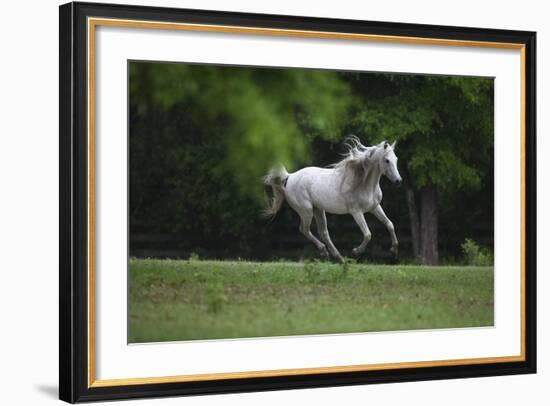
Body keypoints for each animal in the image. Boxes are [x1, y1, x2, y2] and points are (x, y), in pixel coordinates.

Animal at [266, 137, 404, 264]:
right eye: (387, 160)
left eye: (396, 159)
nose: (398, 181)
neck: (364, 184)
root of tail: (290, 177)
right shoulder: (356, 212)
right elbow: (368, 234)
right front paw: (355, 252)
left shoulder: (375, 207)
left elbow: (389, 224)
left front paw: (394, 251)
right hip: (306, 211)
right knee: (304, 229)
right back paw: (325, 252)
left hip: (318, 210)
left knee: (323, 232)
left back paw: (338, 257)